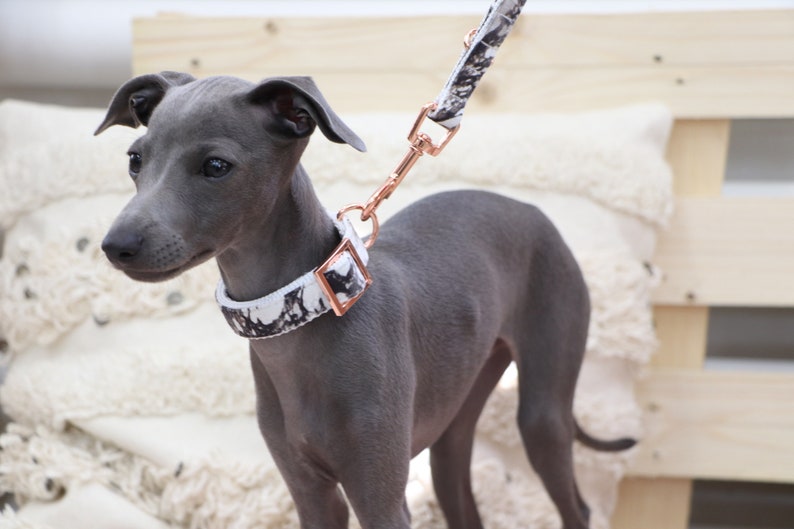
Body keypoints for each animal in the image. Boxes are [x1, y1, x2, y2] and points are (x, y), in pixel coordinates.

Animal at [96, 71, 636, 528]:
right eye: (134, 159)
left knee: (575, 503)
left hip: (543, 406)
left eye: (215, 166)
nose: (116, 245)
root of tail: (532, 210)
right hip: (455, 419)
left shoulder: (380, 499)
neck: (304, 316)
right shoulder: (312, 494)